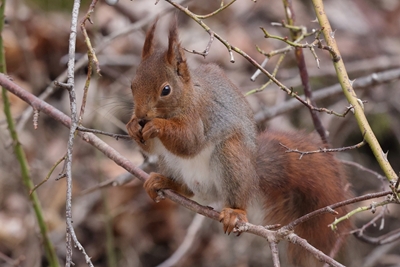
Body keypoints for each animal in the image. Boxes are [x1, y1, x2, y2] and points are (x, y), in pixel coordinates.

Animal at [126, 19, 348, 266]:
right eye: (132, 85)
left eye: (166, 90)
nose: (142, 116)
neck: (188, 96)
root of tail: (253, 175)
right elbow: (153, 147)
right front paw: (132, 126)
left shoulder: (201, 115)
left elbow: (189, 143)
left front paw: (157, 125)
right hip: (171, 163)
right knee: (187, 190)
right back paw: (164, 182)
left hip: (232, 159)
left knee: (235, 198)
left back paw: (235, 213)